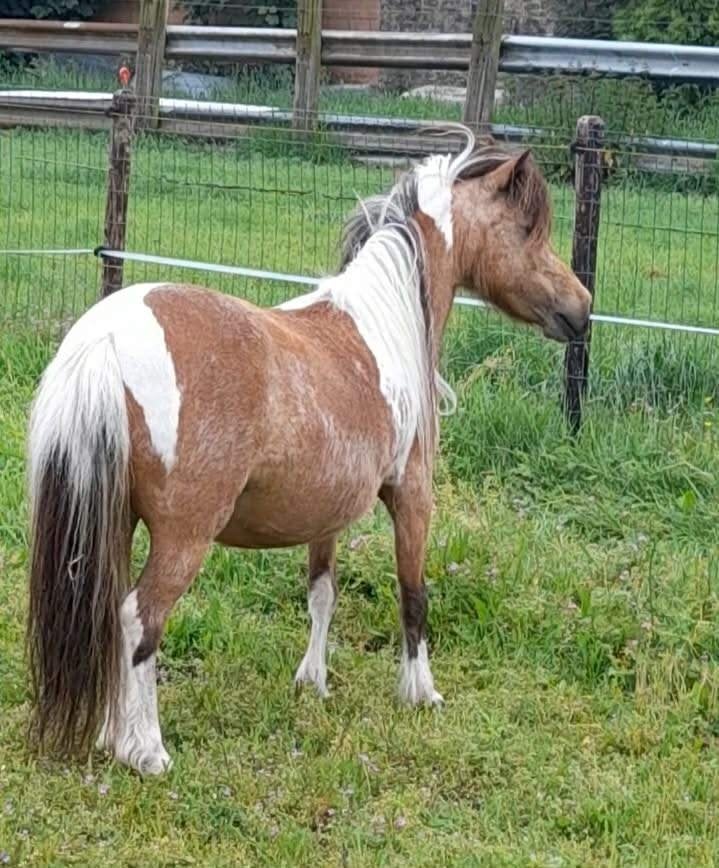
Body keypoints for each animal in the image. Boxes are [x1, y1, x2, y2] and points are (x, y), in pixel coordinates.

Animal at [27, 128, 591, 775]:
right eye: (528, 230)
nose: (582, 308)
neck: (383, 325)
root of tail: (106, 337)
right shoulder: (413, 496)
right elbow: (414, 596)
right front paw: (420, 693)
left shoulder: (327, 515)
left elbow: (322, 594)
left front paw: (312, 682)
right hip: (183, 537)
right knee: (139, 619)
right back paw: (144, 749)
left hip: (112, 523)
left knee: (108, 615)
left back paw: (108, 734)